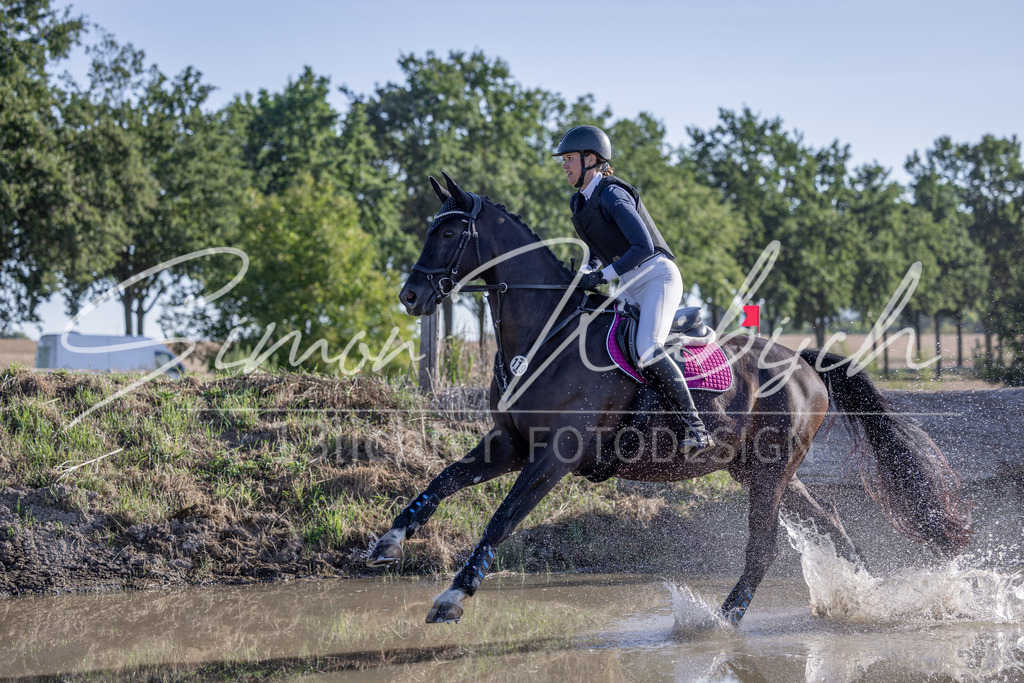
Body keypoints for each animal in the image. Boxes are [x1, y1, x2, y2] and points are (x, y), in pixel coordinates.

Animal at [367, 172, 971, 625]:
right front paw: (389, 542)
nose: (410, 296)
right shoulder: (511, 443)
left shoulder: (554, 456)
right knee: (832, 523)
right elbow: (443, 480)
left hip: (771, 471)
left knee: (764, 546)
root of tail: (804, 363)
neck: (545, 336)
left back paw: (722, 620)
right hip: (757, 469)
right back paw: (869, 596)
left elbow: (503, 517)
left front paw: (453, 596)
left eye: (450, 233)